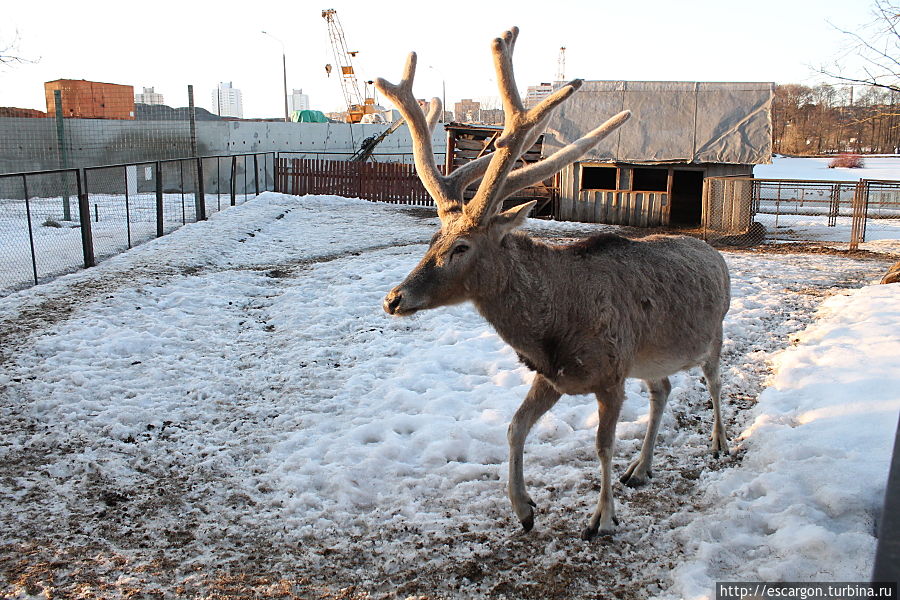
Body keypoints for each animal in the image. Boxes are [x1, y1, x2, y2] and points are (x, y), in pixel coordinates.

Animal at [374, 25, 732, 540]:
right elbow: (514, 427)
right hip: (648, 357)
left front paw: (601, 519)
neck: (554, 328)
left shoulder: (611, 373)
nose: (393, 298)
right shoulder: (555, 377)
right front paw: (523, 509)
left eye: (462, 247)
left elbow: (602, 446)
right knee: (662, 389)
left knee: (715, 380)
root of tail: (716, 253)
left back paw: (720, 443)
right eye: (432, 237)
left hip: (714, 334)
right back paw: (641, 468)